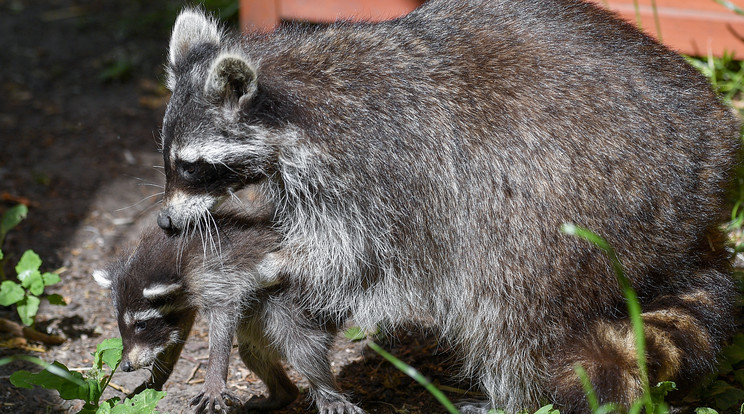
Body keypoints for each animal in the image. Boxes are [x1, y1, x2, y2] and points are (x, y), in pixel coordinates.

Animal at [154, 1, 740, 412]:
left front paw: (281, 260)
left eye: (190, 166)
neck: (291, 97)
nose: (165, 221)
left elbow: (359, 254)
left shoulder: (387, 172)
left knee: (507, 296)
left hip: (584, 192)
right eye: (169, 161)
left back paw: (512, 395)